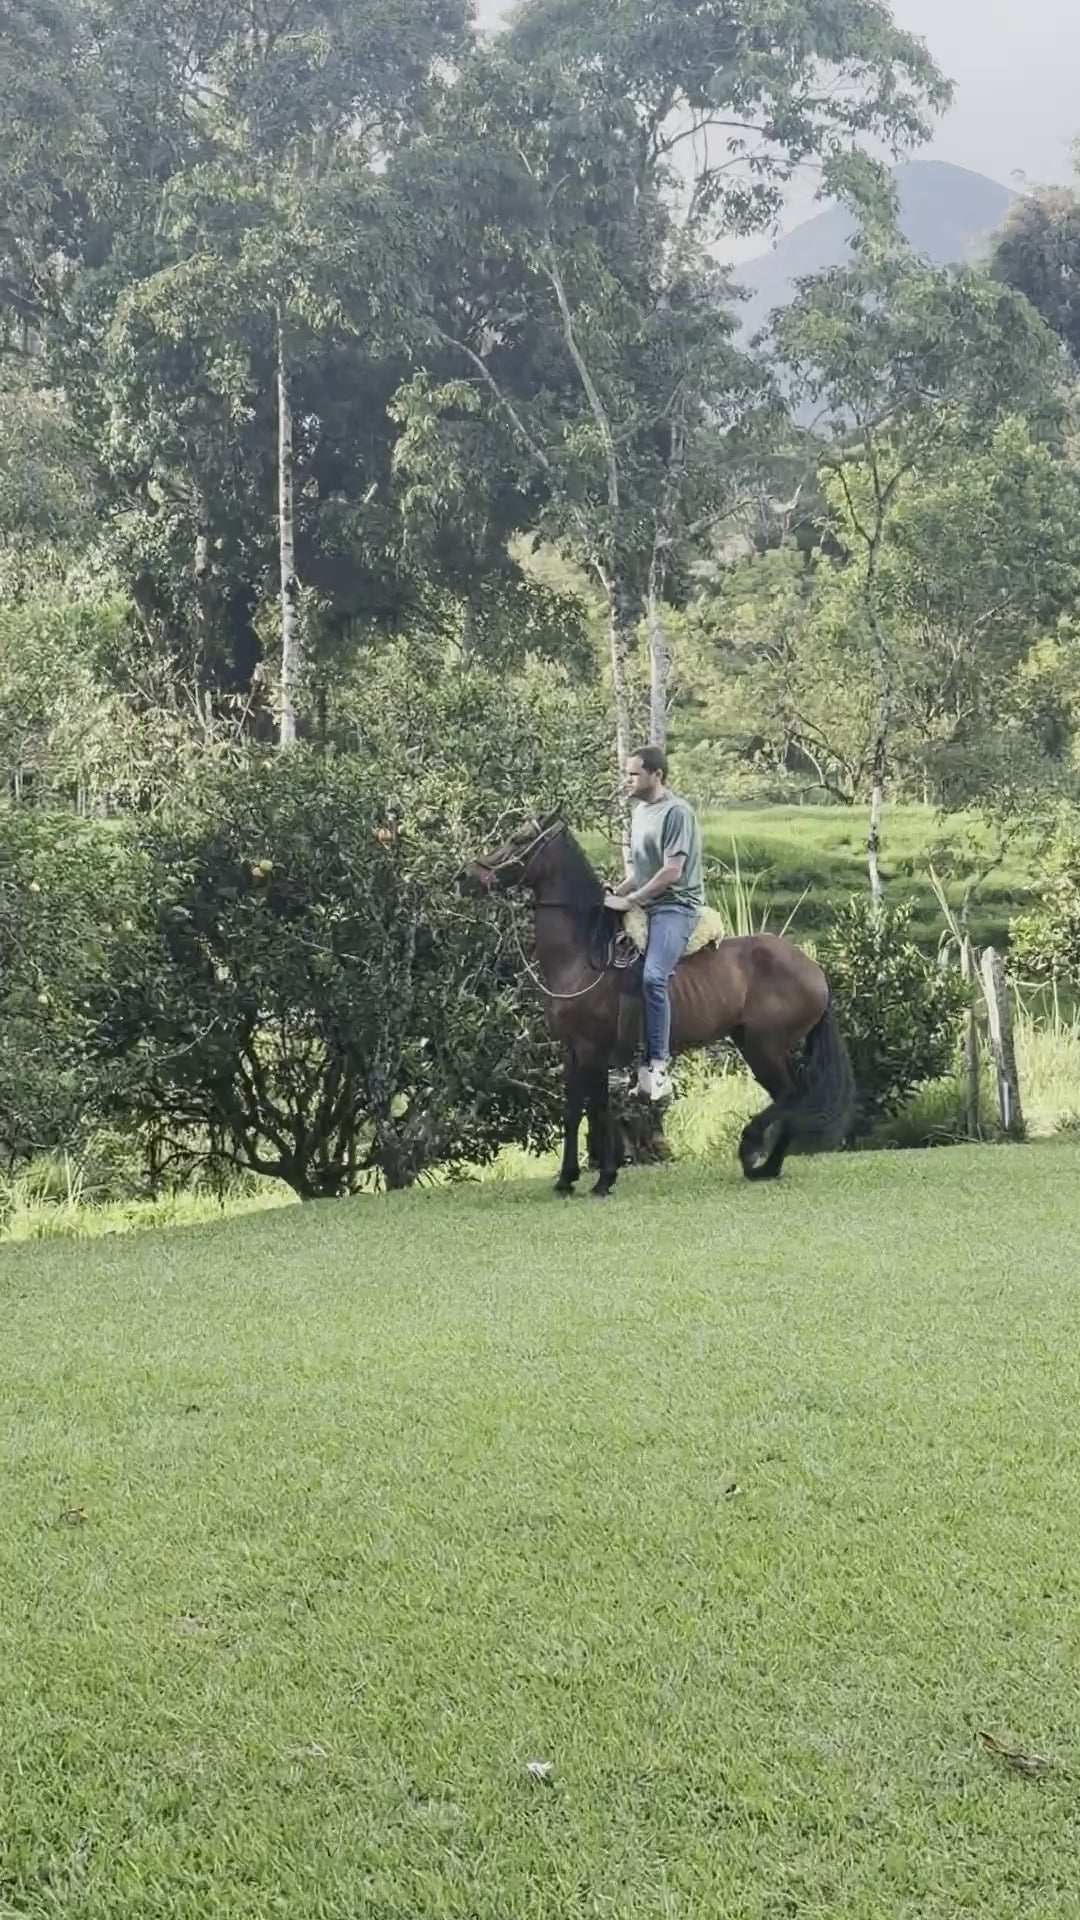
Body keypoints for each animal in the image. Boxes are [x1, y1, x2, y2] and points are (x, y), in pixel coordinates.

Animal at [465, 813, 856, 1198]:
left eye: (518, 839)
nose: (471, 874)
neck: (585, 955)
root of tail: (813, 969)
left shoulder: (593, 1050)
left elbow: (598, 1110)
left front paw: (604, 1178)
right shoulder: (572, 1049)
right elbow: (574, 1111)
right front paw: (566, 1179)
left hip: (766, 1047)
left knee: (792, 1094)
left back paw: (751, 1148)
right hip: (753, 1045)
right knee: (789, 1096)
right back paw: (768, 1167)